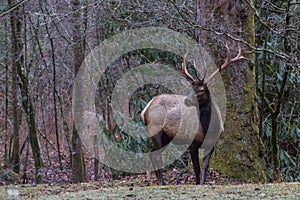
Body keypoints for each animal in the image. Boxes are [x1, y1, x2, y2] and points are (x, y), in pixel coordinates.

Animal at [141, 43, 244, 185]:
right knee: (156, 154)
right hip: (155, 130)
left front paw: (202, 183)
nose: (187, 100)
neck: (209, 129)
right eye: (191, 87)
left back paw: (160, 181)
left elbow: (205, 165)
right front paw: (197, 183)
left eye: (201, 89)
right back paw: (161, 182)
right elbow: (196, 167)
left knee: (152, 152)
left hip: (166, 136)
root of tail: (145, 109)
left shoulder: (212, 143)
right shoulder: (192, 142)